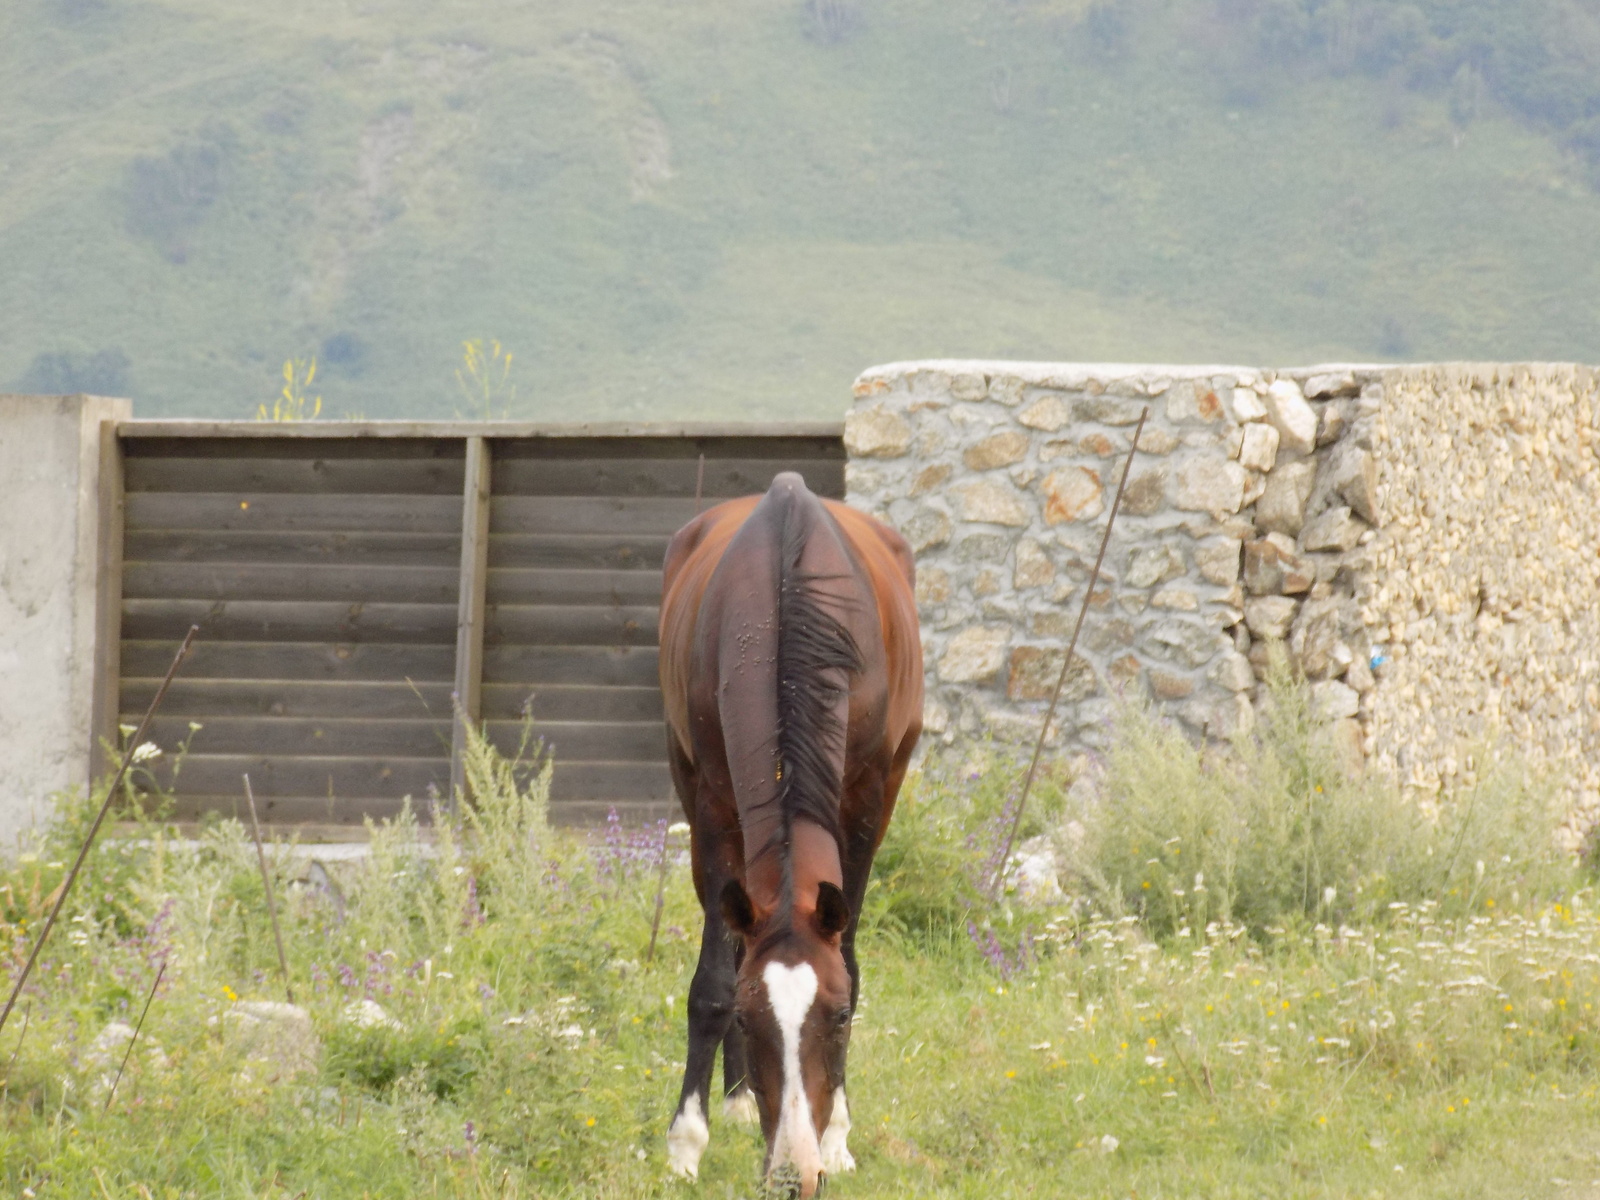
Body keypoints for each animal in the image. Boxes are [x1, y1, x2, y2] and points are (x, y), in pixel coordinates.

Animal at [652, 473, 928, 1196]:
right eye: (752, 1020)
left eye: (837, 1017)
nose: (792, 1176)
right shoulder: (713, 802)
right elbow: (716, 981)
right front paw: (686, 1143)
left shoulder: (867, 801)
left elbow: (851, 961)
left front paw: (836, 1138)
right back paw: (736, 1101)